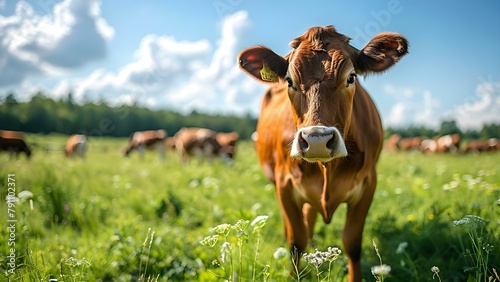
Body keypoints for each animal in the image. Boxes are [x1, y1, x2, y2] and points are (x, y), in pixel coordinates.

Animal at [237, 25, 406, 280]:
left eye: (351, 77)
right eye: (289, 81)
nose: (317, 140)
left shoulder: (368, 185)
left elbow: (352, 244)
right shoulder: (284, 185)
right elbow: (296, 243)